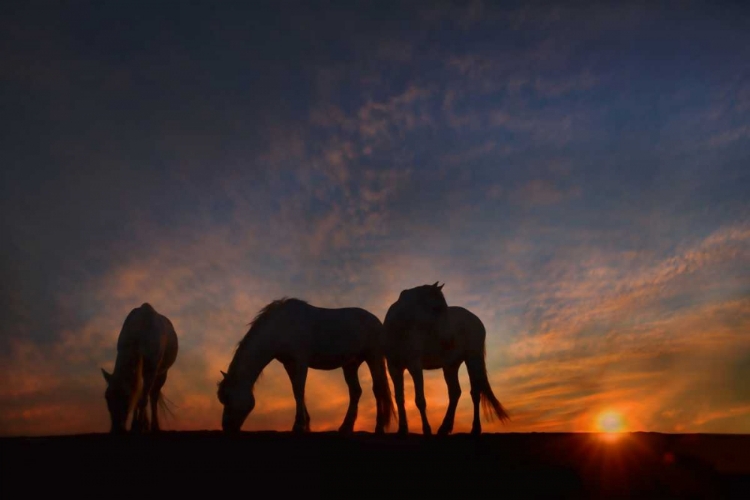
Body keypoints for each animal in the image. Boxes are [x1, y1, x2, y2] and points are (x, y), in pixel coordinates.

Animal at [100, 302, 178, 432]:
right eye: (107, 397)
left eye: (126, 396)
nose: (117, 429)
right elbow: (139, 395)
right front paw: (136, 425)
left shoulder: (151, 369)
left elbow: (144, 398)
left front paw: (139, 425)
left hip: (161, 373)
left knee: (153, 396)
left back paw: (154, 426)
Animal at [216, 296, 396, 434]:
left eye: (228, 397)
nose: (226, 428)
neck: (281, 326)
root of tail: (376, 321)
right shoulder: (289, 364)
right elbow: (296, 391)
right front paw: (305, 423)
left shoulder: (300, 362)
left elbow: (299, 390)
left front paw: (299, 425)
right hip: (350, 364)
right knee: (355, 392)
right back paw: (346, 427)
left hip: (373, 357)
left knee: (378, 390)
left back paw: (379, 427)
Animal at [384, 284, 516, 436]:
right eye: (437, 308)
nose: (449, 338)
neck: (400, 328)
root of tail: (476, 320)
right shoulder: (394, 368)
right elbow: (399, 398)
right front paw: (402, 429)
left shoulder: (414, 366)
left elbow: (420, 400)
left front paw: (427, 430)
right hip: (451, 366)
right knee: (455, 392)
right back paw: (444, 428)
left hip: (473, 360)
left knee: (475, 392)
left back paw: (475, 429)